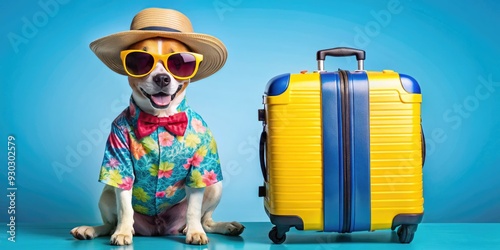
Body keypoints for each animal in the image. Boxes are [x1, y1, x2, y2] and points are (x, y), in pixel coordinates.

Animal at [69, 8, 245, 246]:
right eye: (140, 60)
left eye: (178, 62)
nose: (162, 78)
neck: (161, 119)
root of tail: (158, 228)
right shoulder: (119, 166)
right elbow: (125, 208)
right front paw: (123, 233)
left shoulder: (199, 170)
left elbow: (193, 209)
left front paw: (195, 232)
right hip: (106, 194)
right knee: (109, 224)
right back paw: (91, 229)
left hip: (214, 186)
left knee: (206, 219)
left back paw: (222, 226)